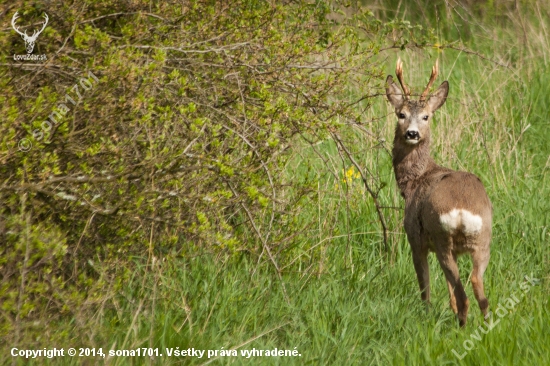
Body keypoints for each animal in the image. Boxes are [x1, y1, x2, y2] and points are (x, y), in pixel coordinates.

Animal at [386, 58, 494, 328]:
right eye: (401, 114)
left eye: (426, 116)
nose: (412, 133)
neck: (414, 182)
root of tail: (463, 211)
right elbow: (448, 292)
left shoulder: (415, 239)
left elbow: (424, 287)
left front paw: (425, 315)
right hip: (482, 240)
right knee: (476, 287)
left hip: (442, 236)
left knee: (464, 294)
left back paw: (462, 327)